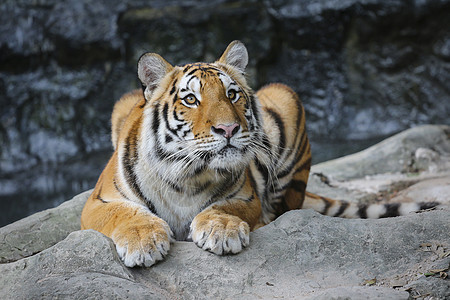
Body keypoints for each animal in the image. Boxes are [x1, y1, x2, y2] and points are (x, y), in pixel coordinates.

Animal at [81, 40, 440, 268]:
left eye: (232, 94)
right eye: (191, 99)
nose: (228, 129)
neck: (186, 175)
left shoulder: (246, 197)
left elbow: (223, 207)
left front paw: (221, 231)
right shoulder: (99, 202)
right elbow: (125, 214)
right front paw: (142, 242)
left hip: (286, 98)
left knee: (284, 208)